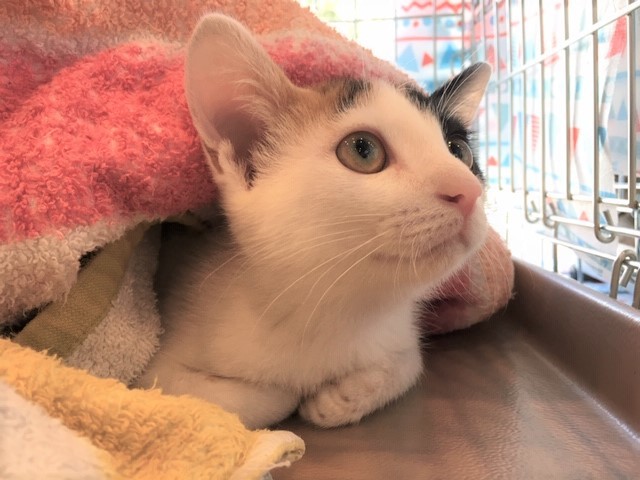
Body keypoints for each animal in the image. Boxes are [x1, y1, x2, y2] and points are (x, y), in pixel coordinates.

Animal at [135, 13, 491, 429]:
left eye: (459, 152)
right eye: (363, 150)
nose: (467, 190)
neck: (335, 314)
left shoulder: (398, 335)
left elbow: (410, 361)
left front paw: (339, 399)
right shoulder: (155, 373)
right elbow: (244, 399)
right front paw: (297, 395)